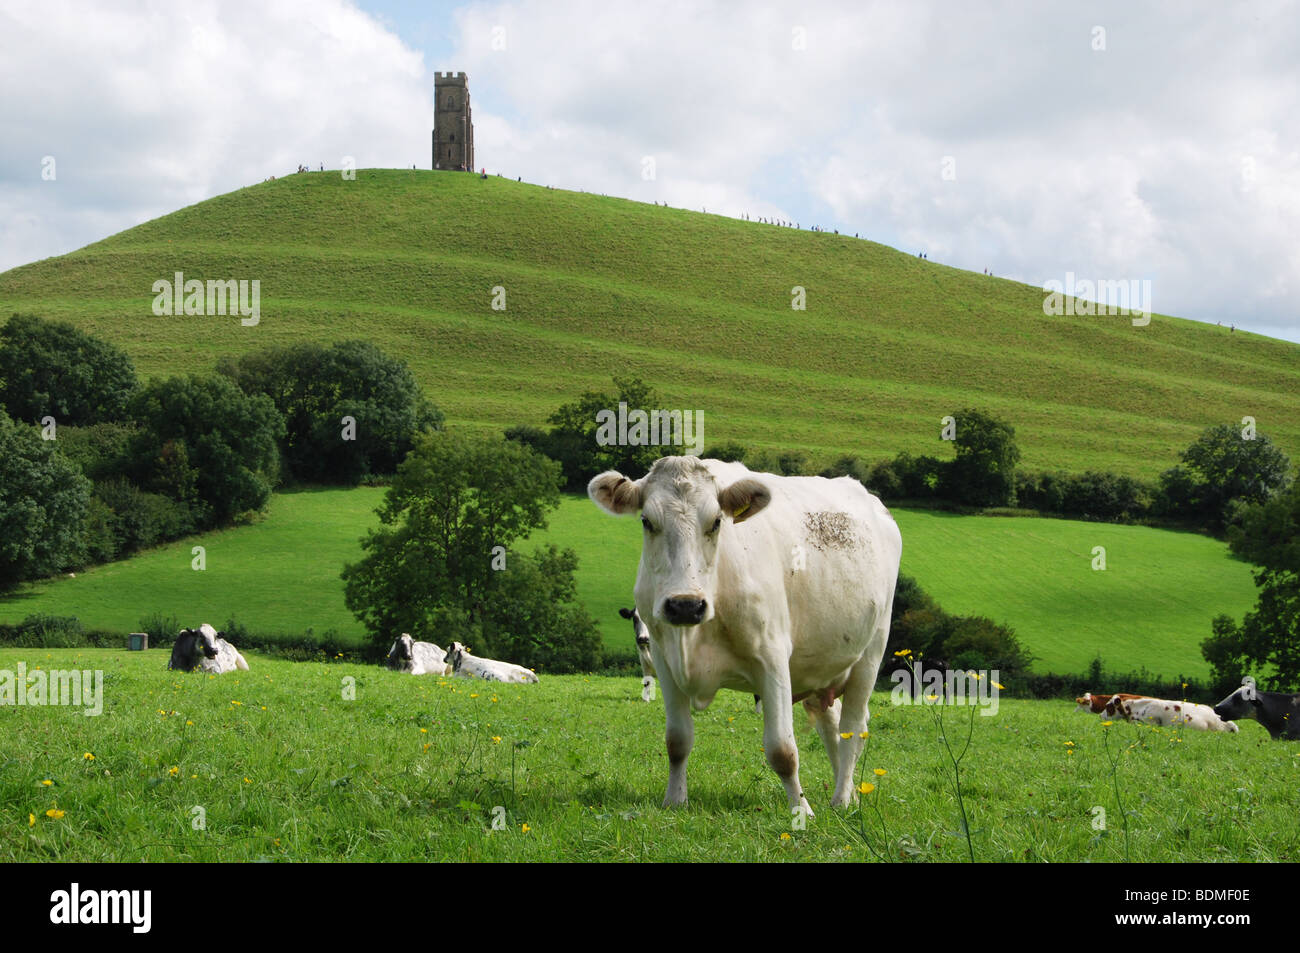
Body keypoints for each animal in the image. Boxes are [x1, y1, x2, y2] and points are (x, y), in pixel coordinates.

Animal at [592, 452, 904, 811]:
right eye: (646, 521)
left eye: (716, 522)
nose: (685, 605)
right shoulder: (663, 659)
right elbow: (677, 741)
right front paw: (675, 800)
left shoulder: (772, 658)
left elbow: (782, 750)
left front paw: (801, 810)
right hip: (819, 667)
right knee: (831, 724)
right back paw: (848, 790)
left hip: (870, 653)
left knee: (852, 729)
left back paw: (840, 799)